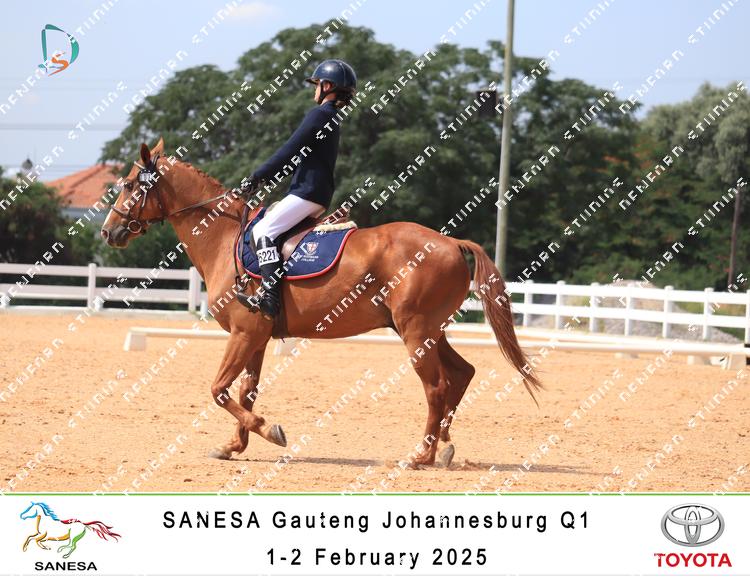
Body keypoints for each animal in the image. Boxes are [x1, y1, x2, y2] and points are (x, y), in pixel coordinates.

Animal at [100, 138, 543, 467]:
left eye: (129, 185)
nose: (109, 232)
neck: (224, 238)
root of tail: (450, 242)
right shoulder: (256, 335)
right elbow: (245, 391)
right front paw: (234, 446)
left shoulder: (244, 332)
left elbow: (219, 389)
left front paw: (270, 430)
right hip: (431, 330)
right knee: (462, 373)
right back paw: (446, 446)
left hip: (416, 331)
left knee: (436, 387)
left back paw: (421, 455)